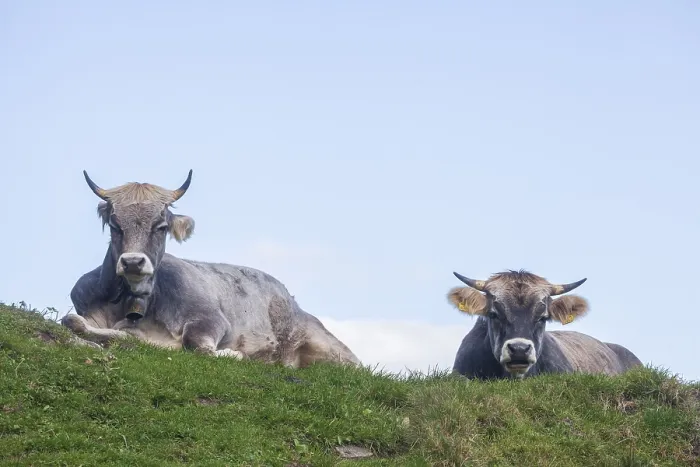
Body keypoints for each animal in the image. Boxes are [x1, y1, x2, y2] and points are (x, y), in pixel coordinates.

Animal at [61, 170, 361, 369]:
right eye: (115, 225)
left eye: (161, 227)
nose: (133, 262)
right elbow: (73, 321)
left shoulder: (209, 319)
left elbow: (197, 346)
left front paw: (233, 354)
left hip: (327, 346)